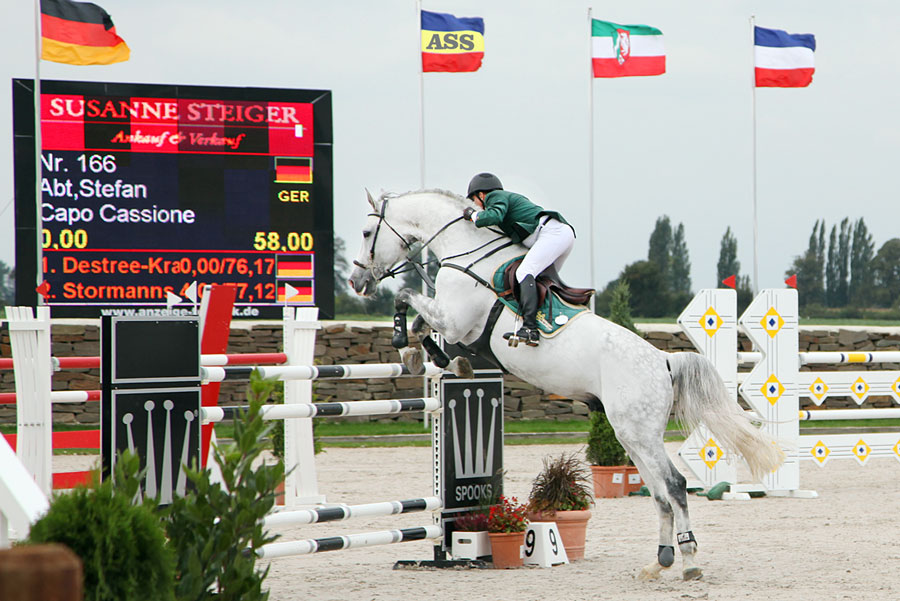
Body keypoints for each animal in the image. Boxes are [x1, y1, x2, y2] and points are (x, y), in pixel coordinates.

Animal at [348, 189, 784, 580]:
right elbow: (424, 322)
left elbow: (407, 297)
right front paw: (436, 358)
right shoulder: (454, 325)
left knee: (675, 485)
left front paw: (411, 346)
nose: (356, 280)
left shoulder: (455, 321)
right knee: (659, 491)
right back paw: (659, 562)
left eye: (368, 232)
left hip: (638, 431)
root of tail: (663, 361)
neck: (466, 253)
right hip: (631, 433)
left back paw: (690, 562)